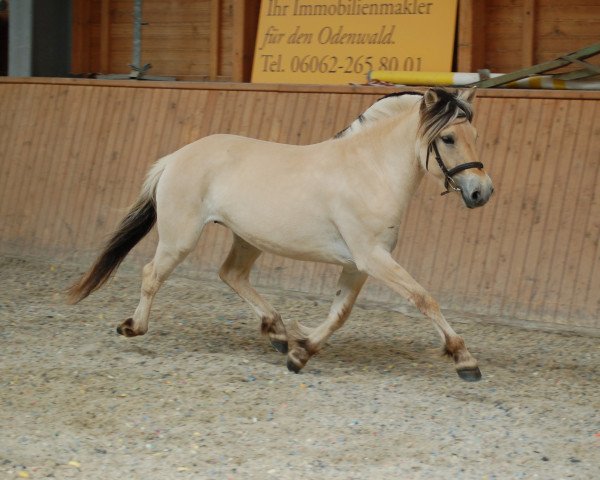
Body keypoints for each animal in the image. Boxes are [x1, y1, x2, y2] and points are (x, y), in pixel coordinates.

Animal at [69, 87, 492, 382]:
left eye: (475, 133)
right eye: (449, 138)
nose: (481, 192)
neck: (369, 171)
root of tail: (175, 157)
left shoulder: (359, 264)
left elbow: (340, 313)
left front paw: (300, 352)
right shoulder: (372, 256)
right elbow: (424, 298)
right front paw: (464, 359)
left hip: (247, 239)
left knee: (231, 274)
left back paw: (277, 333)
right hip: (180, 238)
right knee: (152, 275)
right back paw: (133, 327)